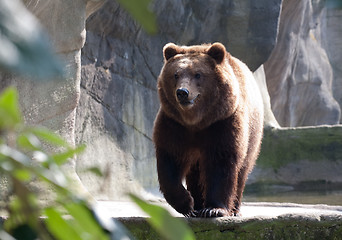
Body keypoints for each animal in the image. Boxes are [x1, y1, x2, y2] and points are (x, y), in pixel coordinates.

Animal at [153, 42, 264, 218]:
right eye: (176, 74)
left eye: (198, 74)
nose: (182, 92)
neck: (196, 121)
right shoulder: (174, 124)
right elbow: (170, 160)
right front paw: (187, 205)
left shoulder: (222, 123)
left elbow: (221, 162)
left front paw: (214, 209)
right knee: (196, 174)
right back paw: (198, 204)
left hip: (253, 134)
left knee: (242, 171)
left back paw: (234, 209)